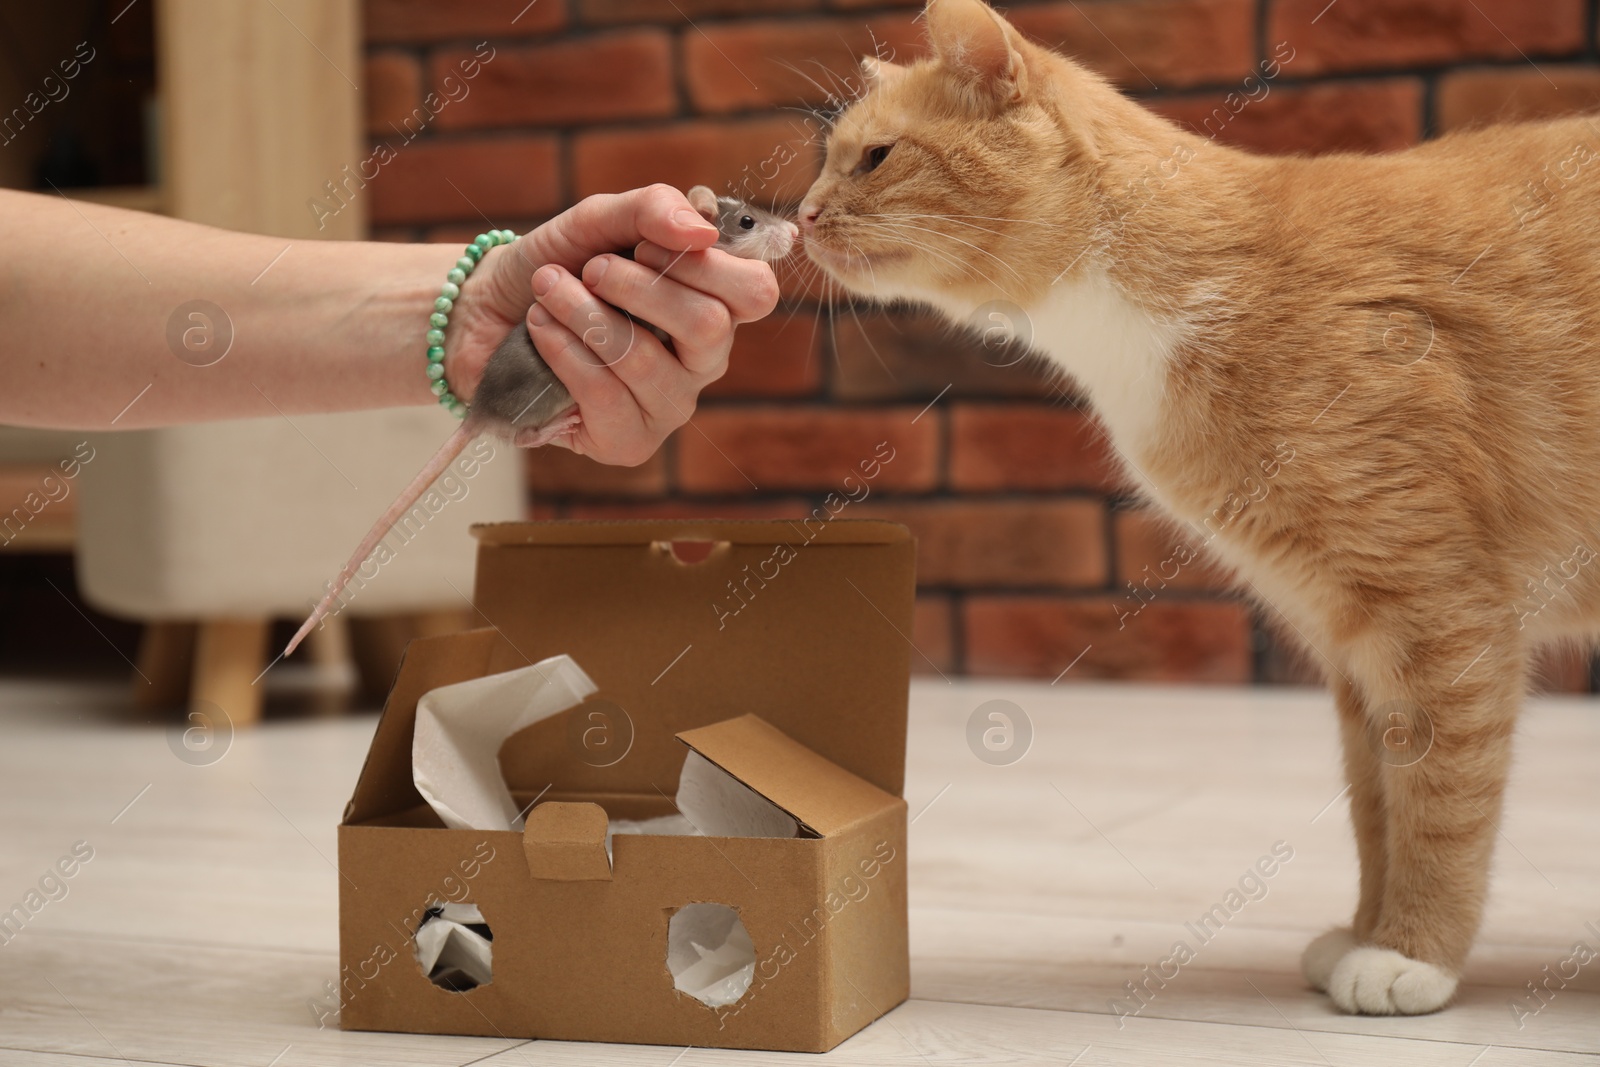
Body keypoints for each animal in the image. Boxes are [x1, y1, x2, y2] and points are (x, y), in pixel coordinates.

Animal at [806, 0, 1600, 1023]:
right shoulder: (1352, 636)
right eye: (830, 162)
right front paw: (1363, 928)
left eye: (873, 157)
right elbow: (1376, 804)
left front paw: (1411, 952)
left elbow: (1440, 799)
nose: (802, 217)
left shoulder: (1442, 615)